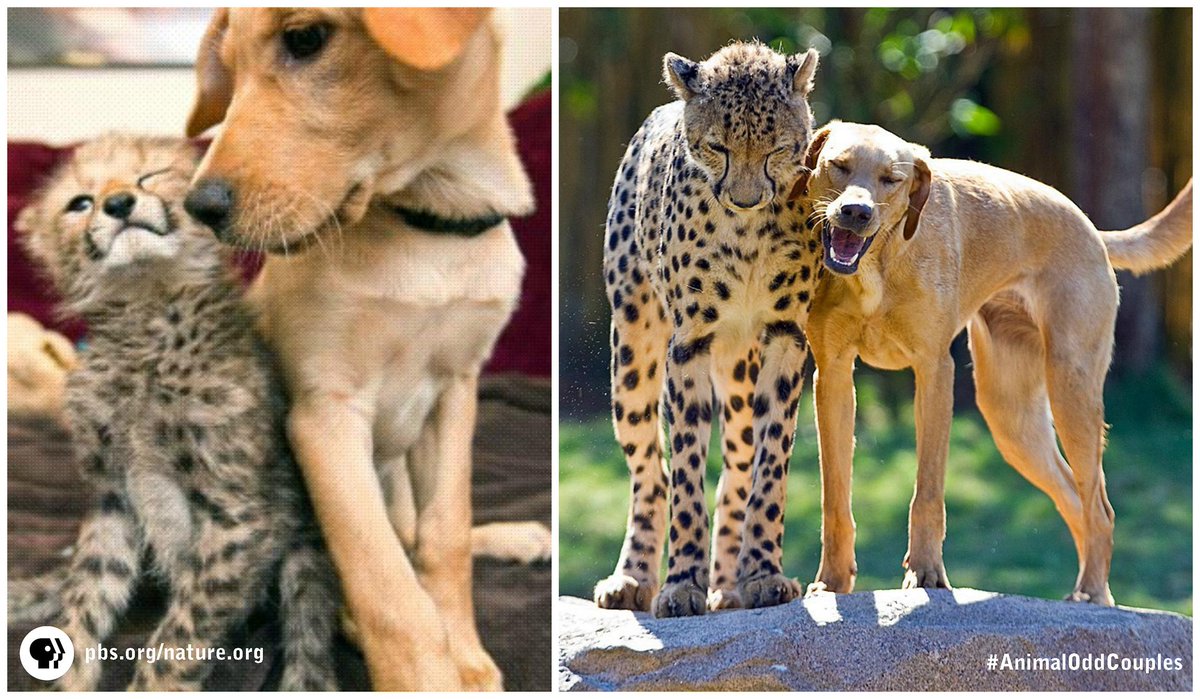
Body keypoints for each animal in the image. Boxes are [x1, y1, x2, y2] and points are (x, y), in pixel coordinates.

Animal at [10, 134, 339, 691]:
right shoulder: (112, 499)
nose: (119, 203)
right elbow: (87, 595)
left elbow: (178, 637)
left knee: (310, 644)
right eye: (80, 203)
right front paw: (66, 678)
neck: (149, 308)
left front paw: (154, 682)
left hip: (305, 556)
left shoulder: (240, 517)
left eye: (150, 177)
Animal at [592, 42, 827, 618]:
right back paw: (633, 577)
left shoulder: (785, 336)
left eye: (777, 149)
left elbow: (769, 467)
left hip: (740, 369)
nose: (744, 199)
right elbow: (686, 473)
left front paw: (762, 574)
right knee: (650, 472)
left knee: (736, 471)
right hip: (633, 352)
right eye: (717, 147)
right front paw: (680, 584)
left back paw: (729, 586)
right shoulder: (690, 343)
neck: (745, 232)